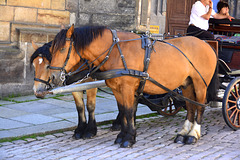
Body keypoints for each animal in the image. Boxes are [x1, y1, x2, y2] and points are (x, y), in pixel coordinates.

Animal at [48, 24, 218, 148]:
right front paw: (122, 135)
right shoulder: (117, 89)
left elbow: (129, 111)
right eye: (51, 49)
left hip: (200, 84)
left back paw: (193, 134)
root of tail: (206, 44)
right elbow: (123, 110)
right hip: (187, 84)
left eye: (62, 49)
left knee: (200, 106)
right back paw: (183, 133)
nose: (53, 76)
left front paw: (129, 138)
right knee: (190, 107)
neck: (116, 51)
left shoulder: (127, 88)